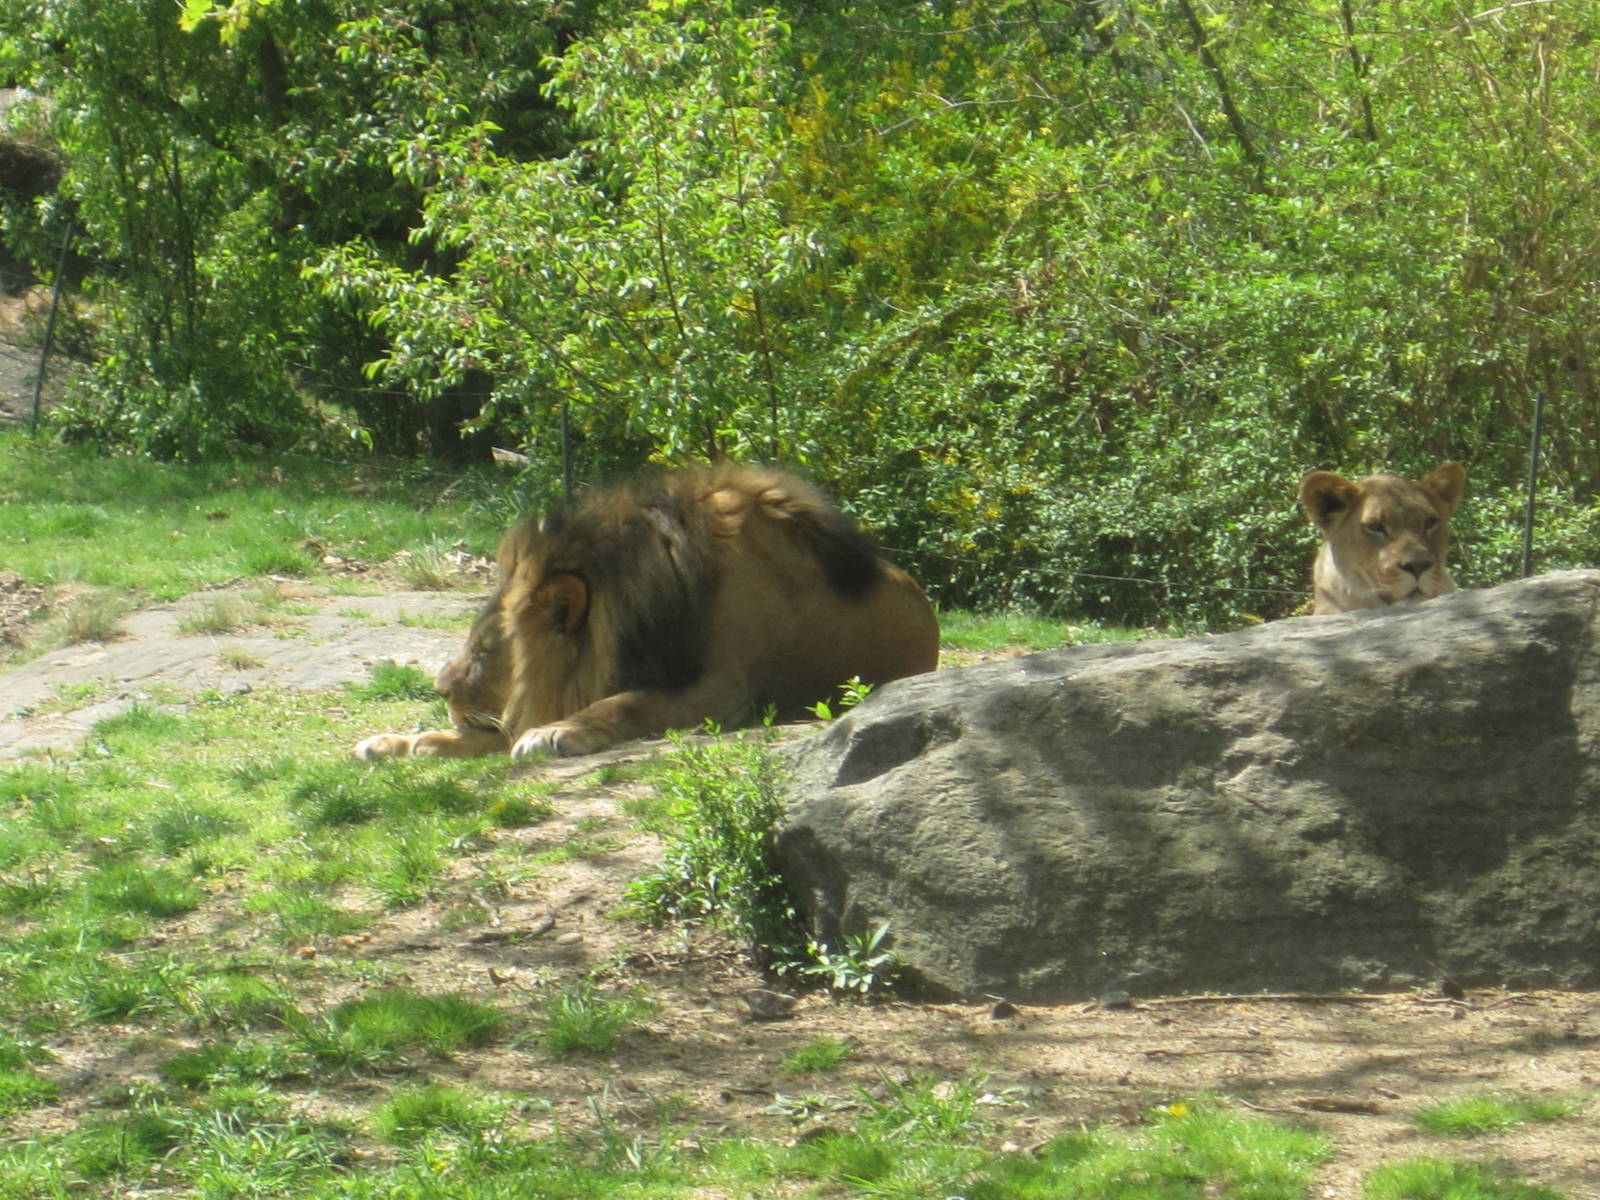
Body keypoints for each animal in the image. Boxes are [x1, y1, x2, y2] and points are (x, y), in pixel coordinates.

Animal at [353, 464, 940, 761]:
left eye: (487, 649)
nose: (439, 689)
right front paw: (399, 741)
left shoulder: (721, 690)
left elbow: (623, 703)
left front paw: (553, 733)